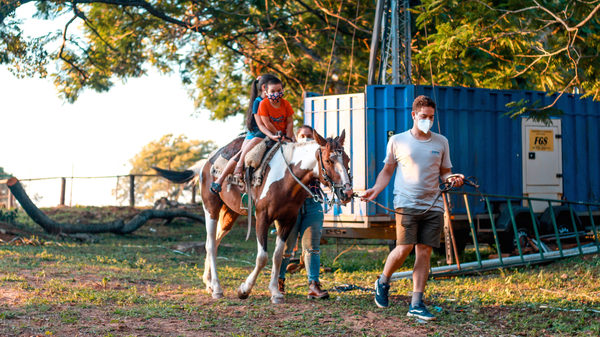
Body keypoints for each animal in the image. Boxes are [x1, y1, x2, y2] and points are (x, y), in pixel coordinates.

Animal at [156, 129, 352, 302]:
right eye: (328, 160)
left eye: (347, 159)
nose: (347, 193)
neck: (286, 178)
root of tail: (206, 163)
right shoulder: (262, 218)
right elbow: (262, 257)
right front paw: (244, 290)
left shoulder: (287, 220)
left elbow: (277, 255)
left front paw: (275, 292)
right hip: (211, 209)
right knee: (211, 245)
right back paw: (217, 288)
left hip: (229, 215)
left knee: (213, 243)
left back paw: (209, 283)